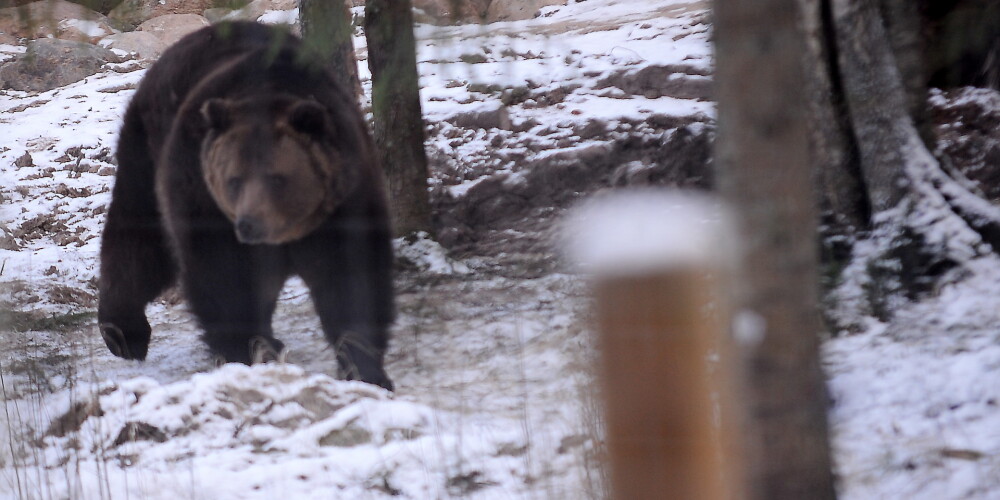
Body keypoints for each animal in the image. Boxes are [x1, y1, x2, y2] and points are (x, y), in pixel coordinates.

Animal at [98, 21, 394, 390]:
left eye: (278, 178)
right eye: (234, 179)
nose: (249, 224)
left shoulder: (343, 200)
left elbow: (351, 279)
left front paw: (366, 370)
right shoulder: (204, 199)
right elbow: (225, 281)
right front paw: (245, 353)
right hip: (148, 149)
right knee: (139, 237)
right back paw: (125, 333)